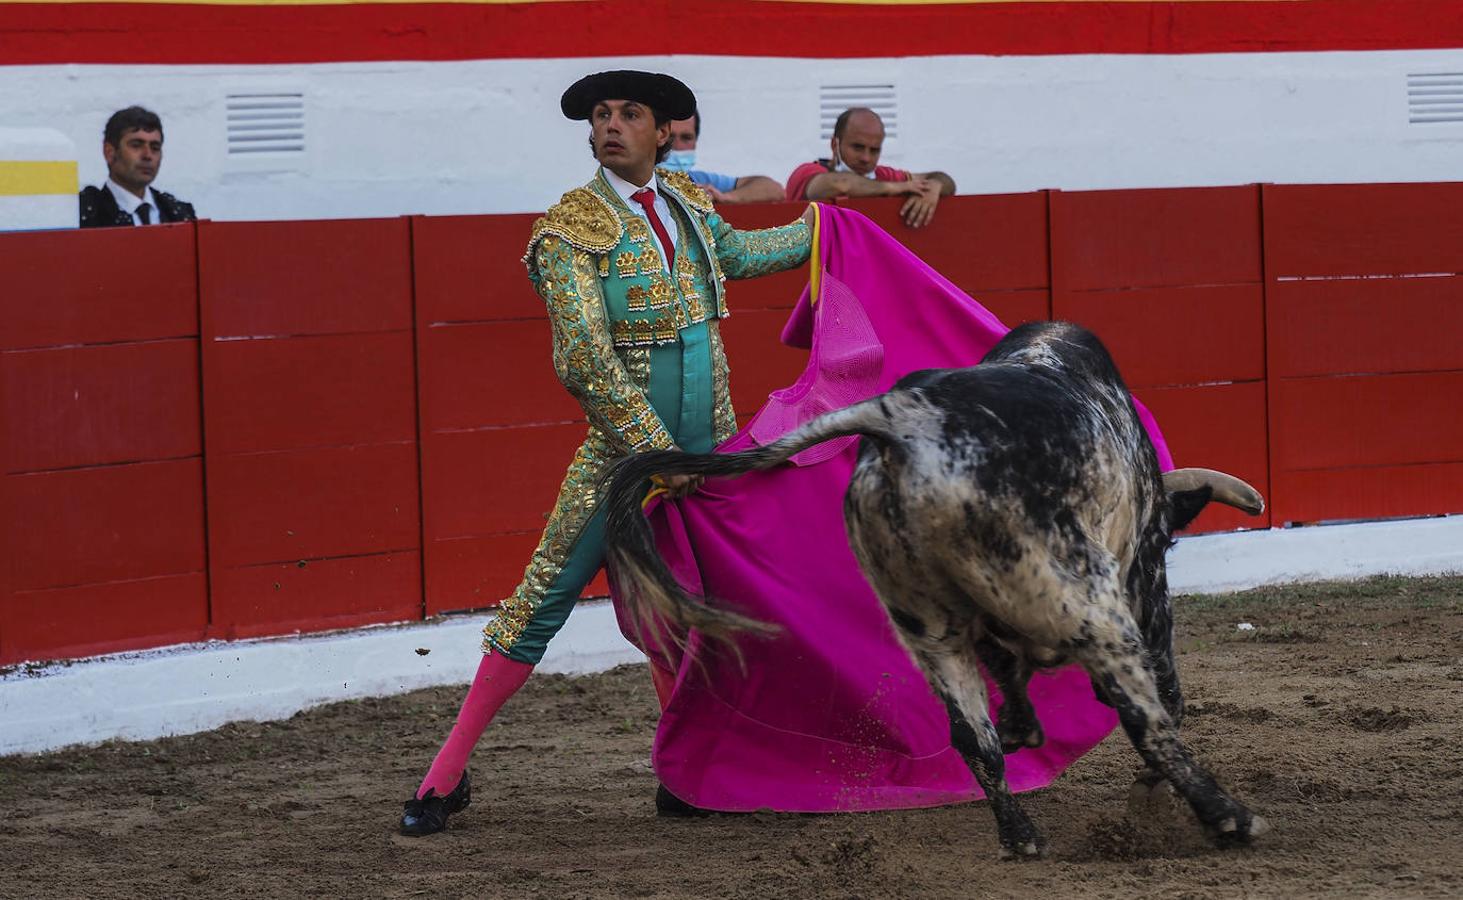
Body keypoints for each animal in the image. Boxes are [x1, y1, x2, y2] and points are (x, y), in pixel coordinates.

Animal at [602, 321, 1269, 860]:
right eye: (1167, 544)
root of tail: (902, 417)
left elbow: (1001, 673)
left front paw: (1024, 725)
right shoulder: (1139, 572)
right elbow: (1153, 686)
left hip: (926, 627)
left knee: (972, 735)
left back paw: (1020, 835)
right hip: (1088, 603)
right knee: (1143, 719)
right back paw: (1228, 818)